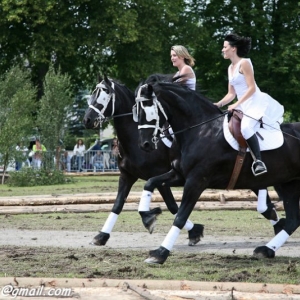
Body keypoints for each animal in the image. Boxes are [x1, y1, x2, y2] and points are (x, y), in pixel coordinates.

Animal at [82, 75, 204, 246]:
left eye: (105, 94)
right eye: (93, 93)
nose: (87, 120)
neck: (134, 139)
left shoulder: (159, 175)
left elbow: (173, 206)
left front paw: (194, 231)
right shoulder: (127, 176)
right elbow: (117, 204)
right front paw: (102, 235)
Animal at [136, 81, 300, 264]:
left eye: (147, 106)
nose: (145, 144)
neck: (199, 130)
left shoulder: (196, 181)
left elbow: (180, 217)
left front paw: (160, 253)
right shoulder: (180, 175)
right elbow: (150, 182)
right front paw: (148, 217)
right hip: (289, 183)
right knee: (293, 220)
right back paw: (266, 250)